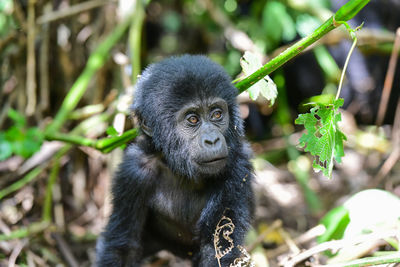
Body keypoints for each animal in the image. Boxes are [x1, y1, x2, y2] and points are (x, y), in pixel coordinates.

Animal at [95, 55, 255, 266]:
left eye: (217, 114)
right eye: (193, 119)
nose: (212, 140)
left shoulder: (238, 166)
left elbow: (219, 247)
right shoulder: (134, 172)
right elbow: (122, 245)